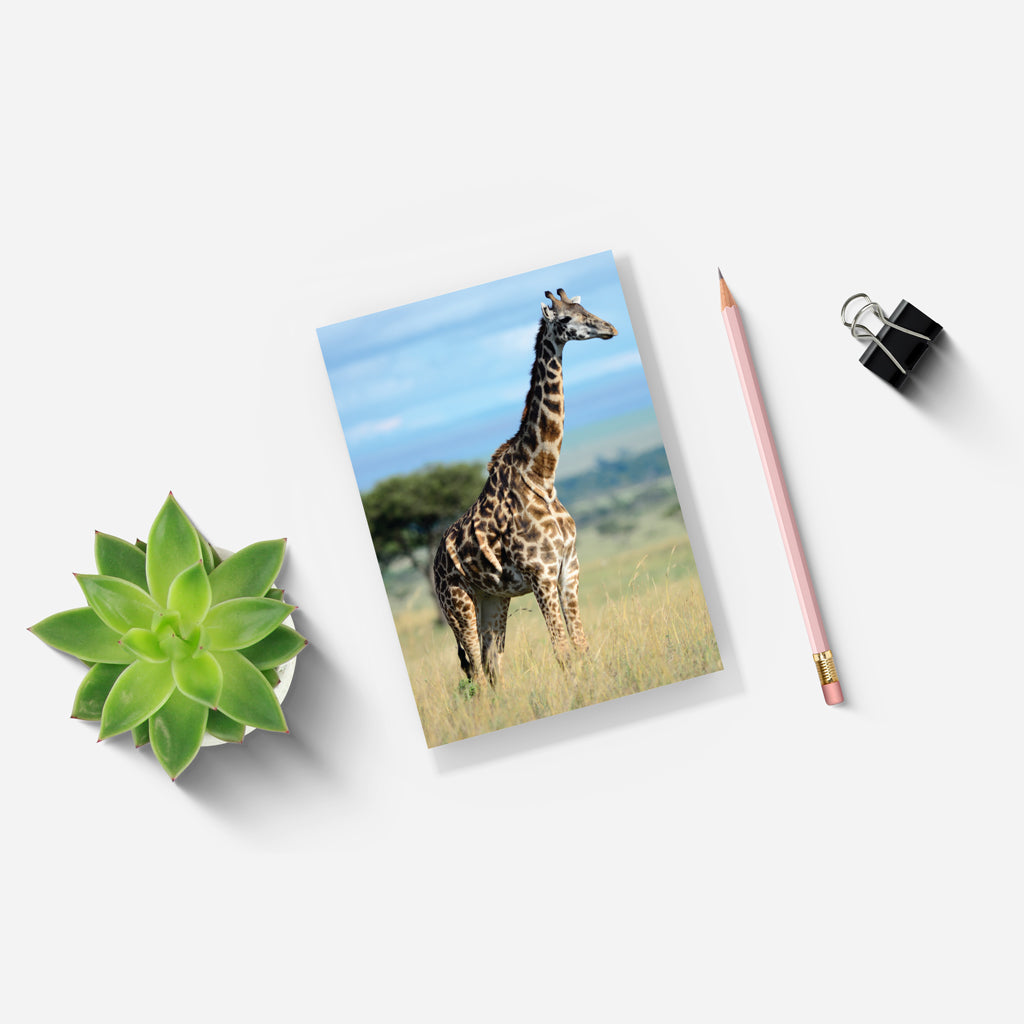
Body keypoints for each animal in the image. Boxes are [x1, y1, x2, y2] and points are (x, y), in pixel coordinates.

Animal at [432, 288, 618, 685]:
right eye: (566, 318)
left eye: (584, 306)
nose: (609, 328)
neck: (542, 477)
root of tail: (436, 563)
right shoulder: (541, 576)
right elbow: (562, 651)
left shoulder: (569, 568)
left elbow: (581, 644)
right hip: (456, 604)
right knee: (474, 671)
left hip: (492, 598)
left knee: (491, 666)